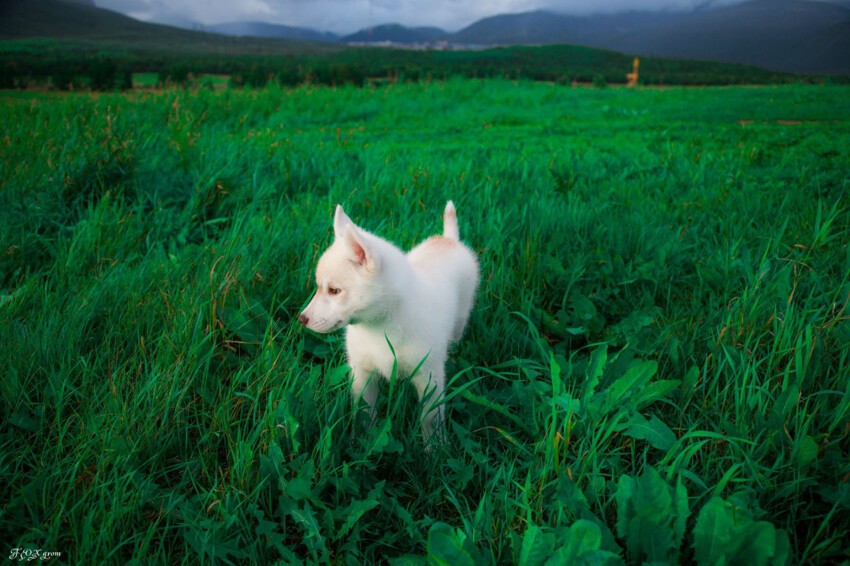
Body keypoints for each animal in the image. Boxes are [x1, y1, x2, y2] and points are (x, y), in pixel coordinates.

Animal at [300, 203, 476, 444]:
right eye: (319, 287)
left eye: (334, 290)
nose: (302, 319)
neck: (379, 325)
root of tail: (448, 239)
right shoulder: (362, 373)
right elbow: (363, 412)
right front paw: (361, 441)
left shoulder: (429, 377)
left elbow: (430, 419)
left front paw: (436, 448)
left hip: (461, 316)